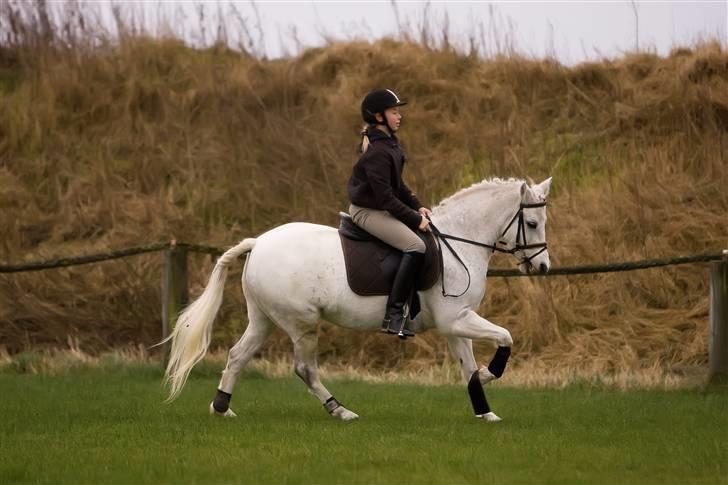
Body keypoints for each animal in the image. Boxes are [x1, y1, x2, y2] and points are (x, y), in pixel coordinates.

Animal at [165, 177, 552, 420]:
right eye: (532, 223)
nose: (543, 266)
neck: (458, 242)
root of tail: (259, 242)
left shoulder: (456, 324)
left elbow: (468, 367)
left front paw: (484, 409)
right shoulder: (456, 319)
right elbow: (505, 337)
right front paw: (490, 375)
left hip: (264, 319)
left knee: (237, 356)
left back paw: (221, 408)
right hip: (301, 323)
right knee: (304, 369)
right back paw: (341, 410)